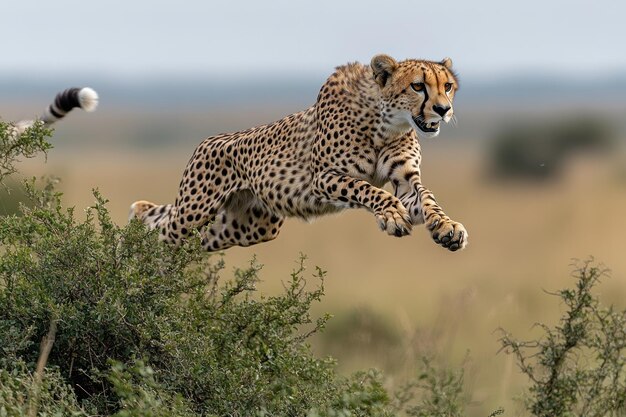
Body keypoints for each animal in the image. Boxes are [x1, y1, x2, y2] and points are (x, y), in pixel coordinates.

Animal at [129, 54, 466, 252]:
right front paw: (392, 215)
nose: (443, 109)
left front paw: (447, 227)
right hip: (195, 211)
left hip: (248, 225)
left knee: (187, 235)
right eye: (418, 86)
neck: (386, 124)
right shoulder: (324, 177)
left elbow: (426, 199)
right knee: (162, 231)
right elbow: (368, 189)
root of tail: (206, 140)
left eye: (448, 86)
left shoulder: (405, 179)